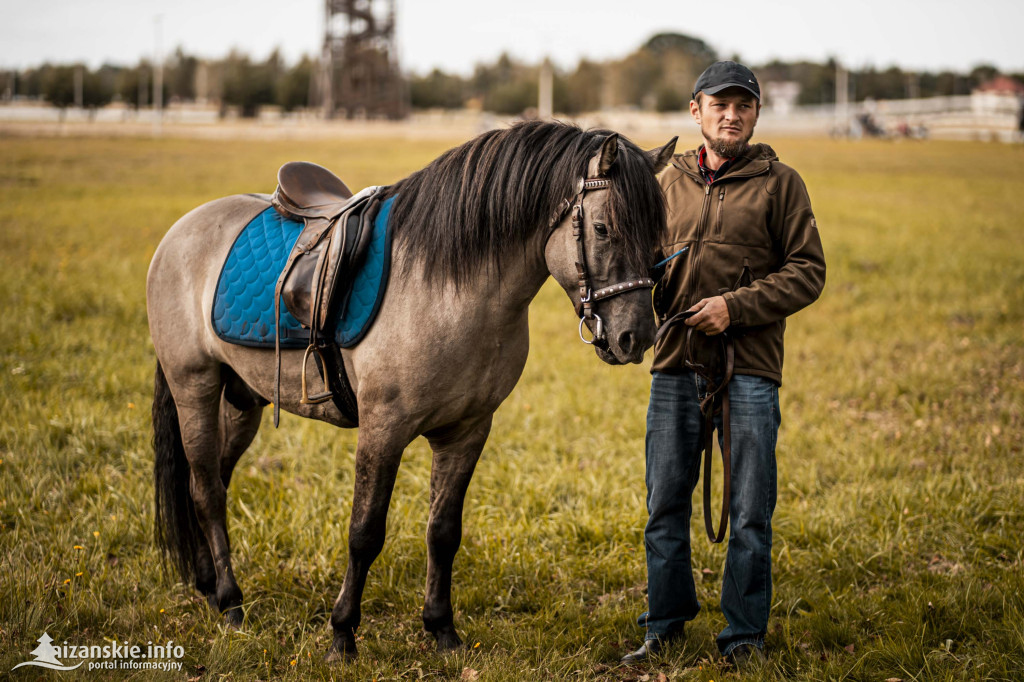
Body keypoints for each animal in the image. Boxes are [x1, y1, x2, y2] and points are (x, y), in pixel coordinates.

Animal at [144, 119, 671, 655]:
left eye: (658, 232)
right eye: (603, 229)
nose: (635, 337)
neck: (450, 290)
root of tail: (181, 231)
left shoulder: (467, 431)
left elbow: (443, 531)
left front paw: (442, 629)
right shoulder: (383, 429)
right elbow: (364, 532)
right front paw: (342, 635)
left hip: (242, 400)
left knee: (211, 480)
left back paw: (210, 586)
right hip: (194, 387)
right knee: (207, 490)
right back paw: (231, 604)